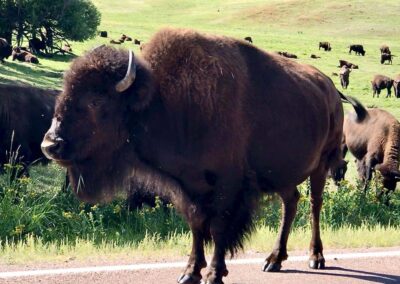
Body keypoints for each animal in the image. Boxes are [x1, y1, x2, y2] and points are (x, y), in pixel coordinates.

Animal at [41, 27, 360, 284]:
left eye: (96, 101)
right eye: (65, 91)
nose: (50, 145)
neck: (163, 100)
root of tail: (331, 91)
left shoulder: (227, 187)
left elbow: (218, 228)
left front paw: (214, 273)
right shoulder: (189, 187)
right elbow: (196, 226)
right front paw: (189, 272)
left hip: (321, 166)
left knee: (315, 204)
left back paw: (315, 258)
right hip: (282, 175)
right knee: (291, 203)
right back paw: (274, 260)